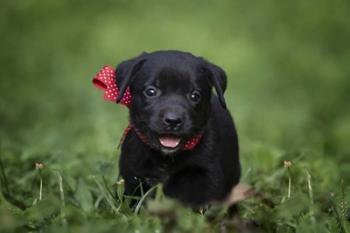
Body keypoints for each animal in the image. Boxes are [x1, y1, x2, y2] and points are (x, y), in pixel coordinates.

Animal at [116, 50, 239, 206]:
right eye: (151, 91)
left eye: (195, 95)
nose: (173, 121)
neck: (165, 158)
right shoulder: (132, 175)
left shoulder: (207, 174)